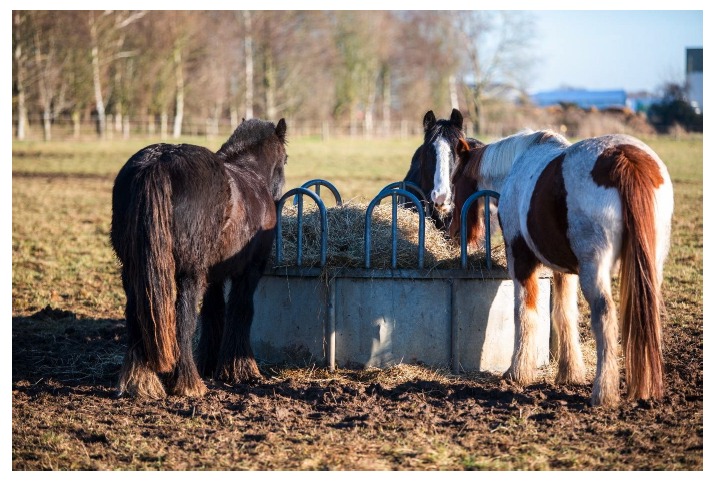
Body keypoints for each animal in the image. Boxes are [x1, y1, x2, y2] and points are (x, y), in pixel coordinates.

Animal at [110, 118, 288, 399]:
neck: (251, 174)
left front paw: (211, 363)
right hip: (189, 274)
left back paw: (141, 382)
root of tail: (158, 162)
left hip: (132, 271)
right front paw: (239, 369)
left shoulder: (214, 274)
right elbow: (240, 310)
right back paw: (188, 383)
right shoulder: (250, 270)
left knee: (136, 317)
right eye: (286, 160)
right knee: (183, 320)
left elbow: (213, 312)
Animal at [451, 129, 673, 407]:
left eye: (454, 180)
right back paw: (645, 387)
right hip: (648, 266)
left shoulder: (521, 260)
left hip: (594, 267)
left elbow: (524, 312)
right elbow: (564, 314)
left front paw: (518, 372)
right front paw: (570, 373)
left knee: (604, 314)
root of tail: (625, 159)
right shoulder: (565, 271)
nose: (452, 230)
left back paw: (603, 392)